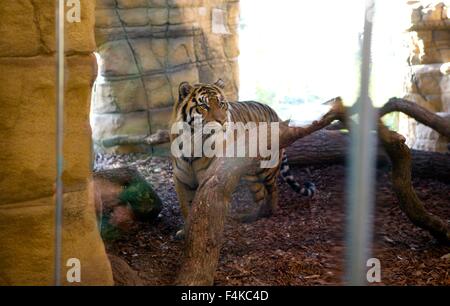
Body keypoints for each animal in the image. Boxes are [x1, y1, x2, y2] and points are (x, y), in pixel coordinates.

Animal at [170, 79, 316, 237]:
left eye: (221, 104)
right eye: (203, 106)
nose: (223, 121)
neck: (192, 143)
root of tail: (275, 113)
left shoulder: (209, 180)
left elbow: (206, 210)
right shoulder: (181, 179)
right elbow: (187, 208)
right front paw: (186, 232)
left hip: (268, 168)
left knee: (273, 190)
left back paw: (271, 212)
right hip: (250, 174)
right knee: (261, 193)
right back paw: (252, 216)